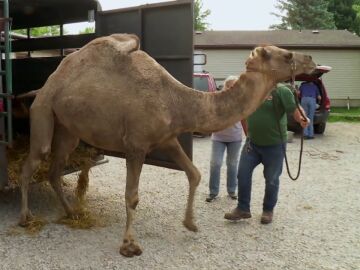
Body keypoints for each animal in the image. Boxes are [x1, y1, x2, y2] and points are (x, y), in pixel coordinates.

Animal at [19, 33, 316, 258]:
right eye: (287, 55)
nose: (312, 60)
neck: (175, 101)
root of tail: (46, 84)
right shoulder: (136, 146)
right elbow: (132, 196)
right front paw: (129, 246)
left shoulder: (168, 139)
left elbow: (194, 173)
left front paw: (191, 223)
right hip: (43, 110)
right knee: (33, 162)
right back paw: (26, 217)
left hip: (67, 128)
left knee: (54, 169)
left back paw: (72, 212)